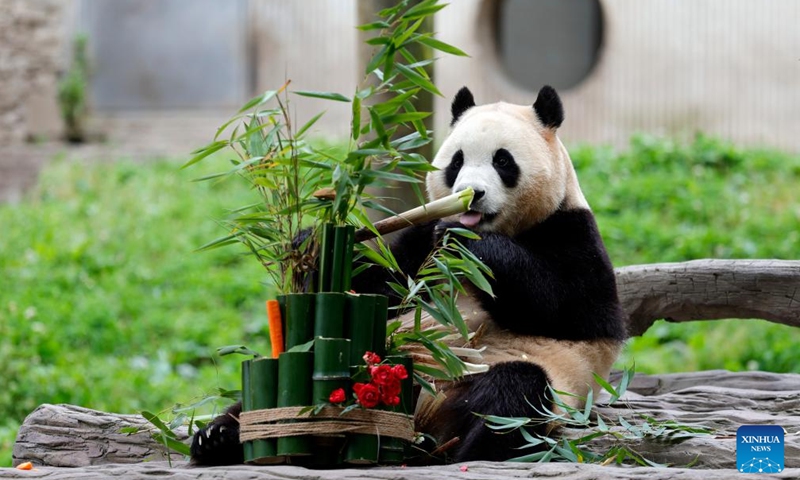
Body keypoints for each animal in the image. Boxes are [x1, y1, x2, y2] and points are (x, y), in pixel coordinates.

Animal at [190, 85, 627, 465]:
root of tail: (422, 418)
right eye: (456, 162)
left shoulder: (572, 232)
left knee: (515, 397)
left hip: (501, 385)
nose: (472, 194)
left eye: (503, 161)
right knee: (277, 388)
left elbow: (570, 309)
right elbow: (379, 291)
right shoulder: (419, 244)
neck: (500, 228)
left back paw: (467, 451)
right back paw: (219, 436)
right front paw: (311, 246)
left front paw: (467, 244)